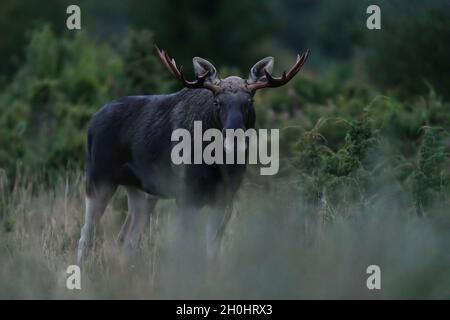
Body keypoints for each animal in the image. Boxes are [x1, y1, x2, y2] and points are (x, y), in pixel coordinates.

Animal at [77, 46, 310, 264]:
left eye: (250, 102)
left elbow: (212, 248)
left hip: (141, 191)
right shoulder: (186, 194)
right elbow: (187, 246)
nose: (234, 139)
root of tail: (92, 121)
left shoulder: (225, 197)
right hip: (98, 177)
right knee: (86, 233)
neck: (218, 165)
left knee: (127, 238)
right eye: (217, 102)